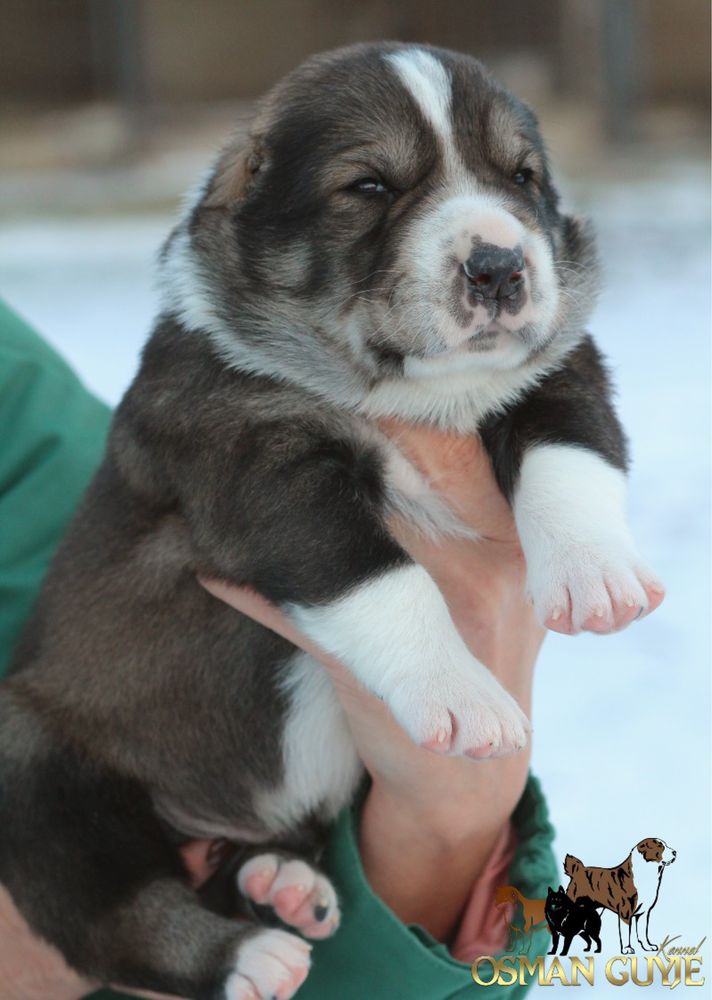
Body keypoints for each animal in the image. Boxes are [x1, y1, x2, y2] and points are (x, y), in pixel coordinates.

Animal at [2, 41, 664, 1000]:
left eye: (522, 177)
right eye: (371, 187)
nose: (501, 265)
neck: (413, 393)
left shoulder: (560, 369)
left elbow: (571, 455)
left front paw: (597, 578)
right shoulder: (263, 464)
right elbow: (381, 577)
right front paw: (464, 698)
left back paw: (285, 885)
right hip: (33, 762)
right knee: (111, 910)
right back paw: (248, 955)